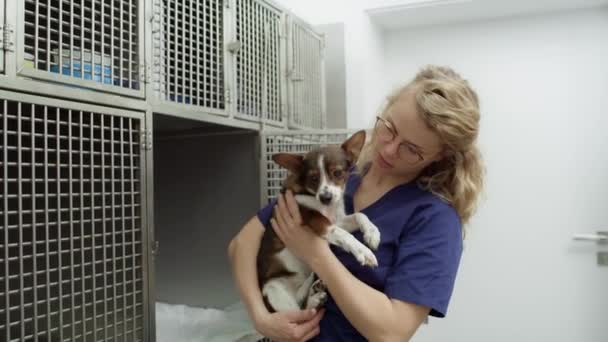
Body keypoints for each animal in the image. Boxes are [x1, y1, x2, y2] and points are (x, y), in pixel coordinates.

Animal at [255, 130, 380, 312]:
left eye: (337, 173)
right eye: (313, 178)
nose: (325, 197)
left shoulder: (338, 220)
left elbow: (360, 215)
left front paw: (372, 233)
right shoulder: (318, 221)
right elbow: (344, 235)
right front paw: (362, 251)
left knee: (302, 302)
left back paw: (314, 293)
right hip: (274, 291)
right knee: (298, 312)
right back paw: (313, 298)